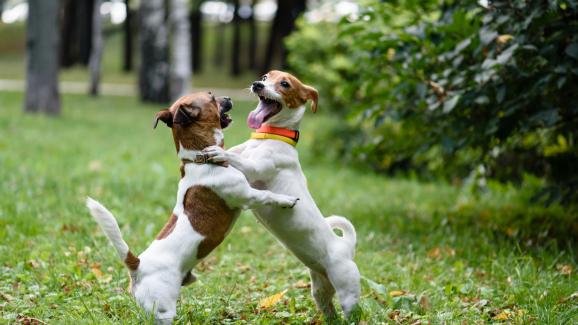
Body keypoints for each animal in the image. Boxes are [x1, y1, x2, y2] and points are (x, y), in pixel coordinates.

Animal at [202, 71, 360, 318]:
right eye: (266, 76)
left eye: (285, 84)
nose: (257, 84)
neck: (269, 137)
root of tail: (346, 246)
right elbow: (235, 153)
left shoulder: (254, 169)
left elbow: (236, 159)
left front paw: (219, 152)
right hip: (321, 290)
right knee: (329, 310)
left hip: (348, 291)